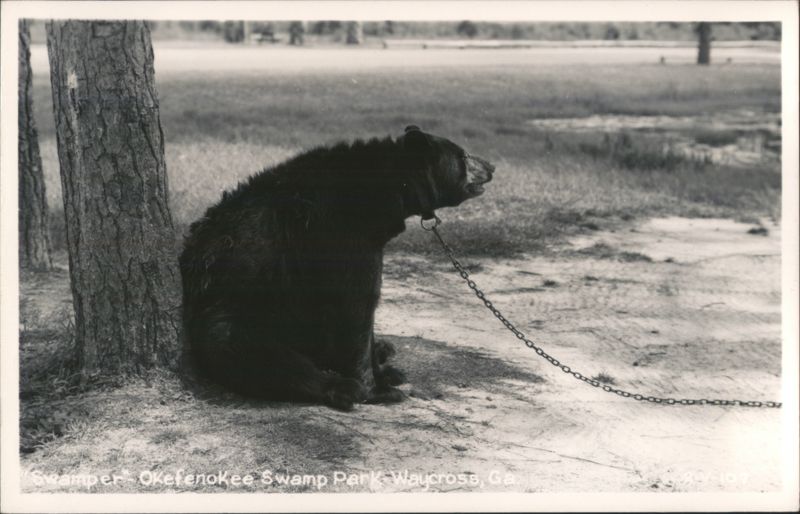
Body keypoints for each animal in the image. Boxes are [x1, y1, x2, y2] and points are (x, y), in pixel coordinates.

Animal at [179, 126, 495, 410]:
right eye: (463, 155)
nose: (492, 166)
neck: (381, 191)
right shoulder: (342, 233)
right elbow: (357, 305)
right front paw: (377, 389)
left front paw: (384, 371)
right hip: (239, 314)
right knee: (258, 355)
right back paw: (344, 388)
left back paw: (385, 354)